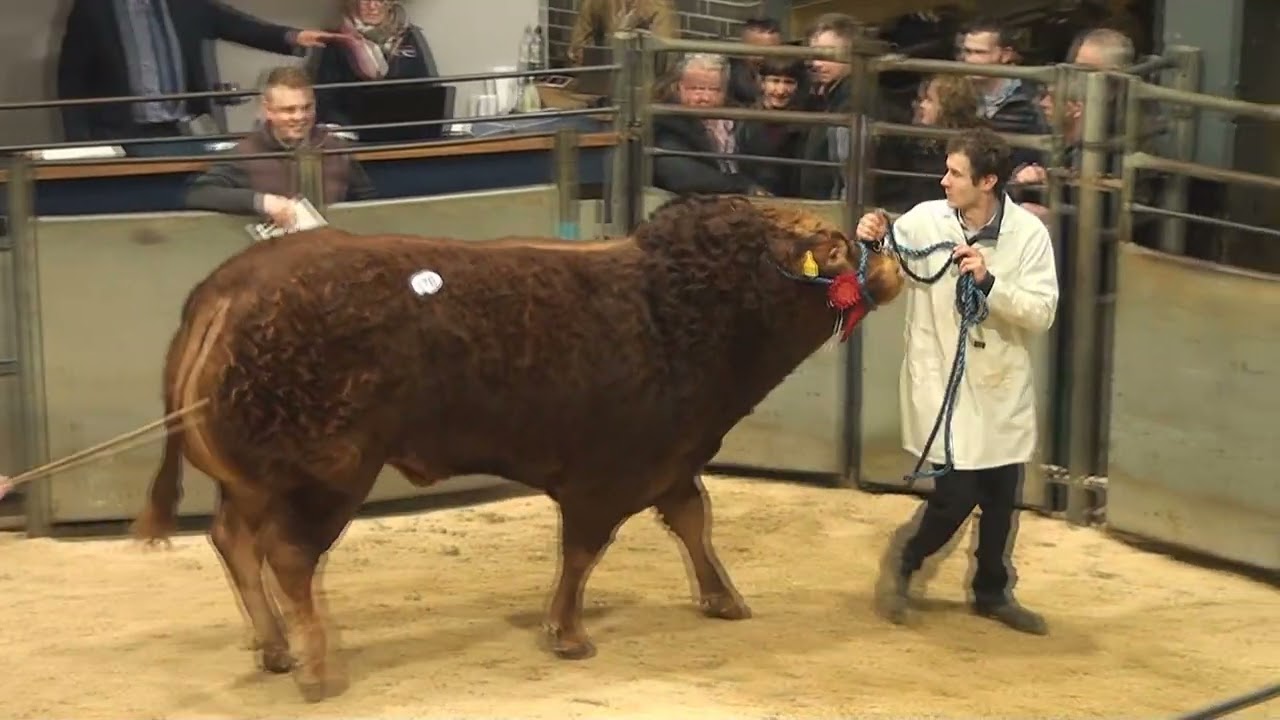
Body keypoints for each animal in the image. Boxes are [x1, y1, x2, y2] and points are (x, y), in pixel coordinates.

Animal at [132, 194, 905, 701]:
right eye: (835, 247)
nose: (891, 259)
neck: (674, 310)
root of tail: (232, 287)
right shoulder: (608, 474)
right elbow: (584, 551)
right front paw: (566, 634)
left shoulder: (673, 460)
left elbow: (694, 522)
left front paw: (723, 598)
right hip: (326, 475)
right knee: (288, 556)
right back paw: (321, 668)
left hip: (257, 478)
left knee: (235, 541)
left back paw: (275, 648)